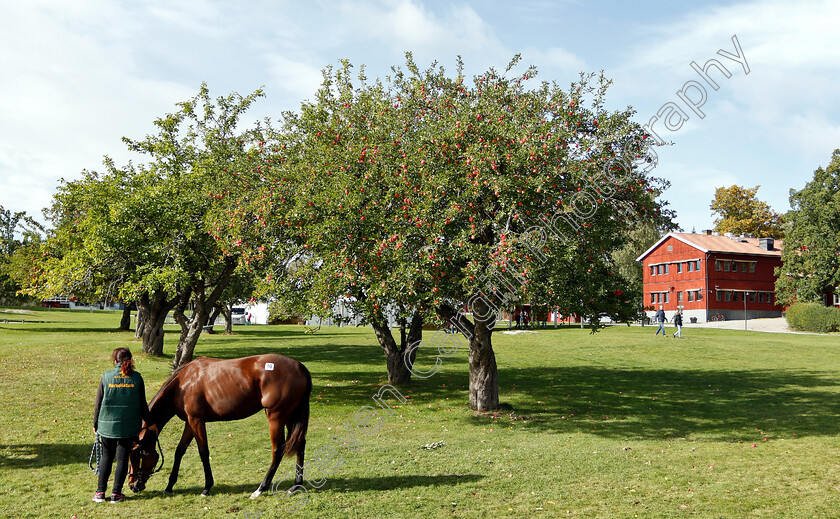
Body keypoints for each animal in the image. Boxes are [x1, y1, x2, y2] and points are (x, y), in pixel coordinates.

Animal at [130, 354, 314, 500]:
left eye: (137, 455)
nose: (132, 485)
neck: (183, 383)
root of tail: (299, 366)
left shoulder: (197, 421)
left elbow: (203, 452)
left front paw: (206, 487)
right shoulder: (190, 423)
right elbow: (179, 451)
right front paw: (169, 486)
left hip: (276, 417)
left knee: (278, 450)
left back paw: (260, 489)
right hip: (291, 417)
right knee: (300, 445)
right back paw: (296, 485)